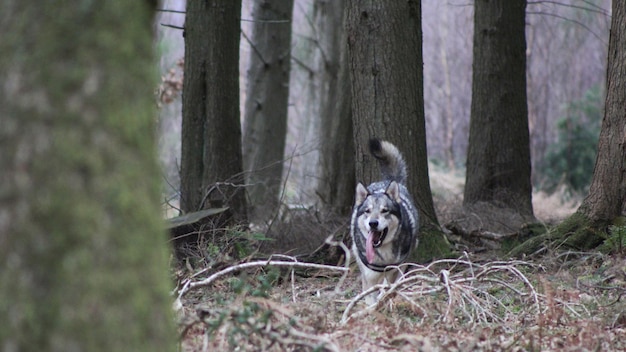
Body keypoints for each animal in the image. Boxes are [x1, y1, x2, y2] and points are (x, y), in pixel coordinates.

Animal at [348, 139, 416, 298]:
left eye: (384, 210)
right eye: (367, 211)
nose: (373, 223)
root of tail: (389, 180)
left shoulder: (394, 269)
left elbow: (387, 287)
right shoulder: (369, 277)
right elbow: (371, 297)